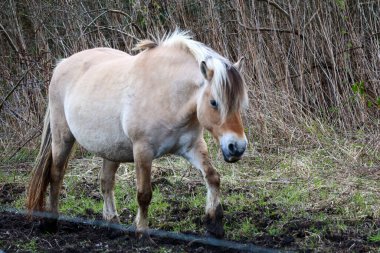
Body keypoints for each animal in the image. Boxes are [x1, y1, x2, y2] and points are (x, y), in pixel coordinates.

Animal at [26, 30, 246, 239]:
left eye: (239, 103)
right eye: (214, 102)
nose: (237, 147)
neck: (167, 93)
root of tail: (62, 64)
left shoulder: (192, 146)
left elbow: (212, 177)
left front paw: (215, 226)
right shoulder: (143, 151)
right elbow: (144, 194)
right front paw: (142, 234)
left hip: (110, 150)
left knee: (106, 182)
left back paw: (112, 223)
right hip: (62, 138)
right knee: (56, 175)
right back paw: (51, 222)